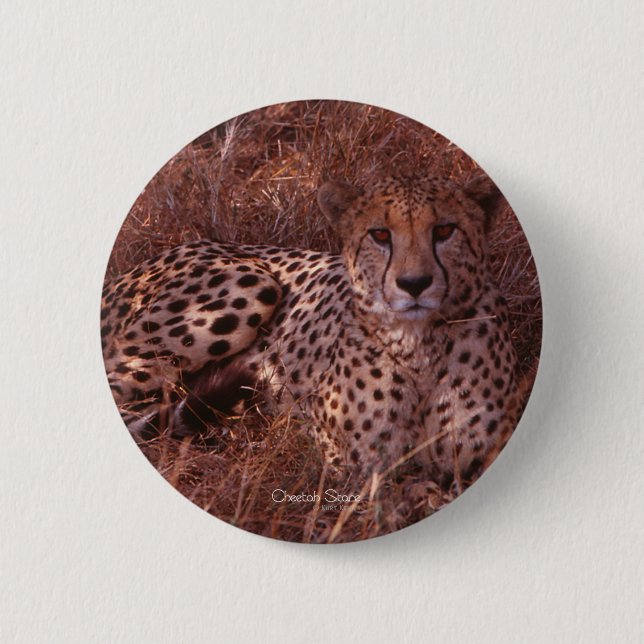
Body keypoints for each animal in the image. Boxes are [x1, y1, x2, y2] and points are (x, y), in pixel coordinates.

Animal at [101, 173, 524, 491]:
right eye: (380, 235)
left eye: (445, 230)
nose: (414, 283)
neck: (418, 346)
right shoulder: (346, 459)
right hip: (250, 284)